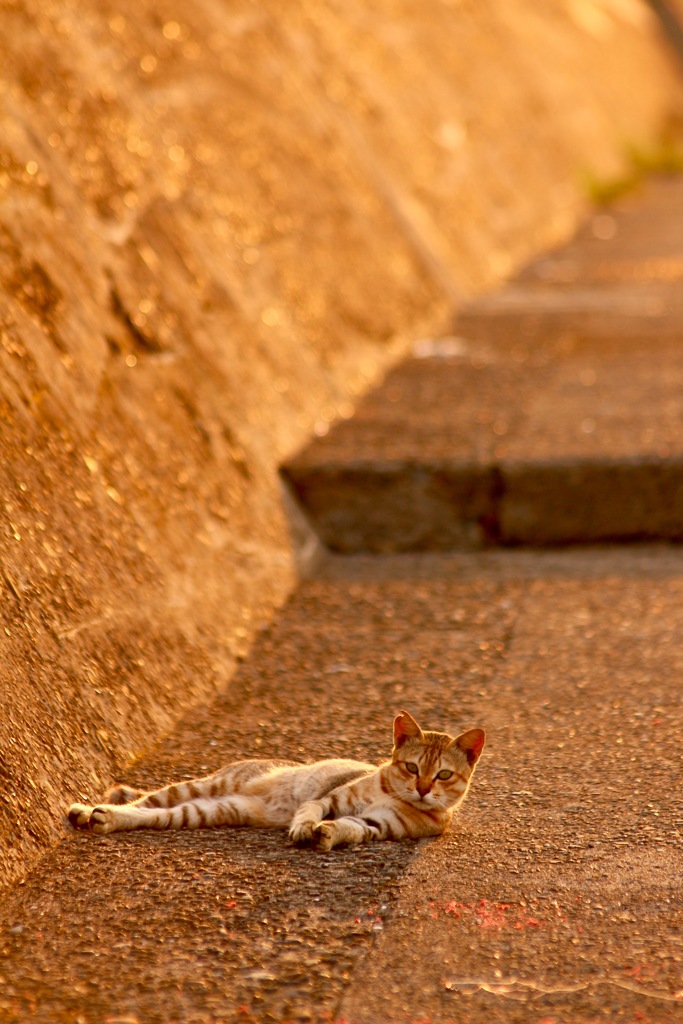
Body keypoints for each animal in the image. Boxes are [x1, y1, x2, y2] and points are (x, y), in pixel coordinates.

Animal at [68, 708, 485, 851]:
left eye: (443, 774)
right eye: (412, 768)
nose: (423, 789)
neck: (395, 797)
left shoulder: (375, 824)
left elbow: (349, 828)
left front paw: (327, 834)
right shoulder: (330, 798)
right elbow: (310, 810)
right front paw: (304, 827)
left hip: (208, 810)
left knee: (150, 815)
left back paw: (104, 818)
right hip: (204, 786)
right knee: (146, 799)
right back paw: (88, 810)